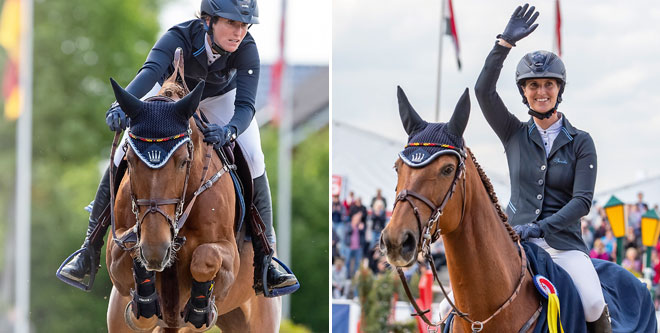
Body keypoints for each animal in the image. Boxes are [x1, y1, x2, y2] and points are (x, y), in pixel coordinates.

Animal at [104, 50, 280, 332]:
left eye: (184, 161)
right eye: (129, 160)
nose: (156, 250)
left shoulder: (229, 258)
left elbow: (206, 256)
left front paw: (199, 308)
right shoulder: (118, 257)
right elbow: (128, 250)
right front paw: (145, 295)